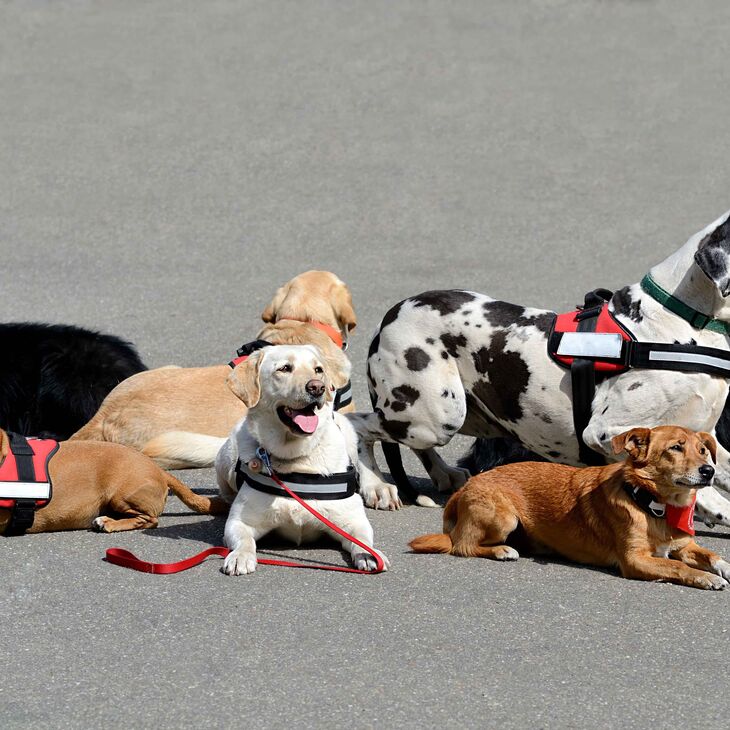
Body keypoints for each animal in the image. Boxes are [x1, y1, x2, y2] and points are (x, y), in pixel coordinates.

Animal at [410, 424, 728, 588]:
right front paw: (707, 578)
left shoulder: (684, 545)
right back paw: (502, 550)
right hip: (504, 518)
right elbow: (677, 567)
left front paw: (720, 568)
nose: (708, 471)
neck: (653, 505)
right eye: (675, 448)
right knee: (462, 546)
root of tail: (464, 488)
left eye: (703, 450)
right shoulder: (636, 560)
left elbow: (712, 555)